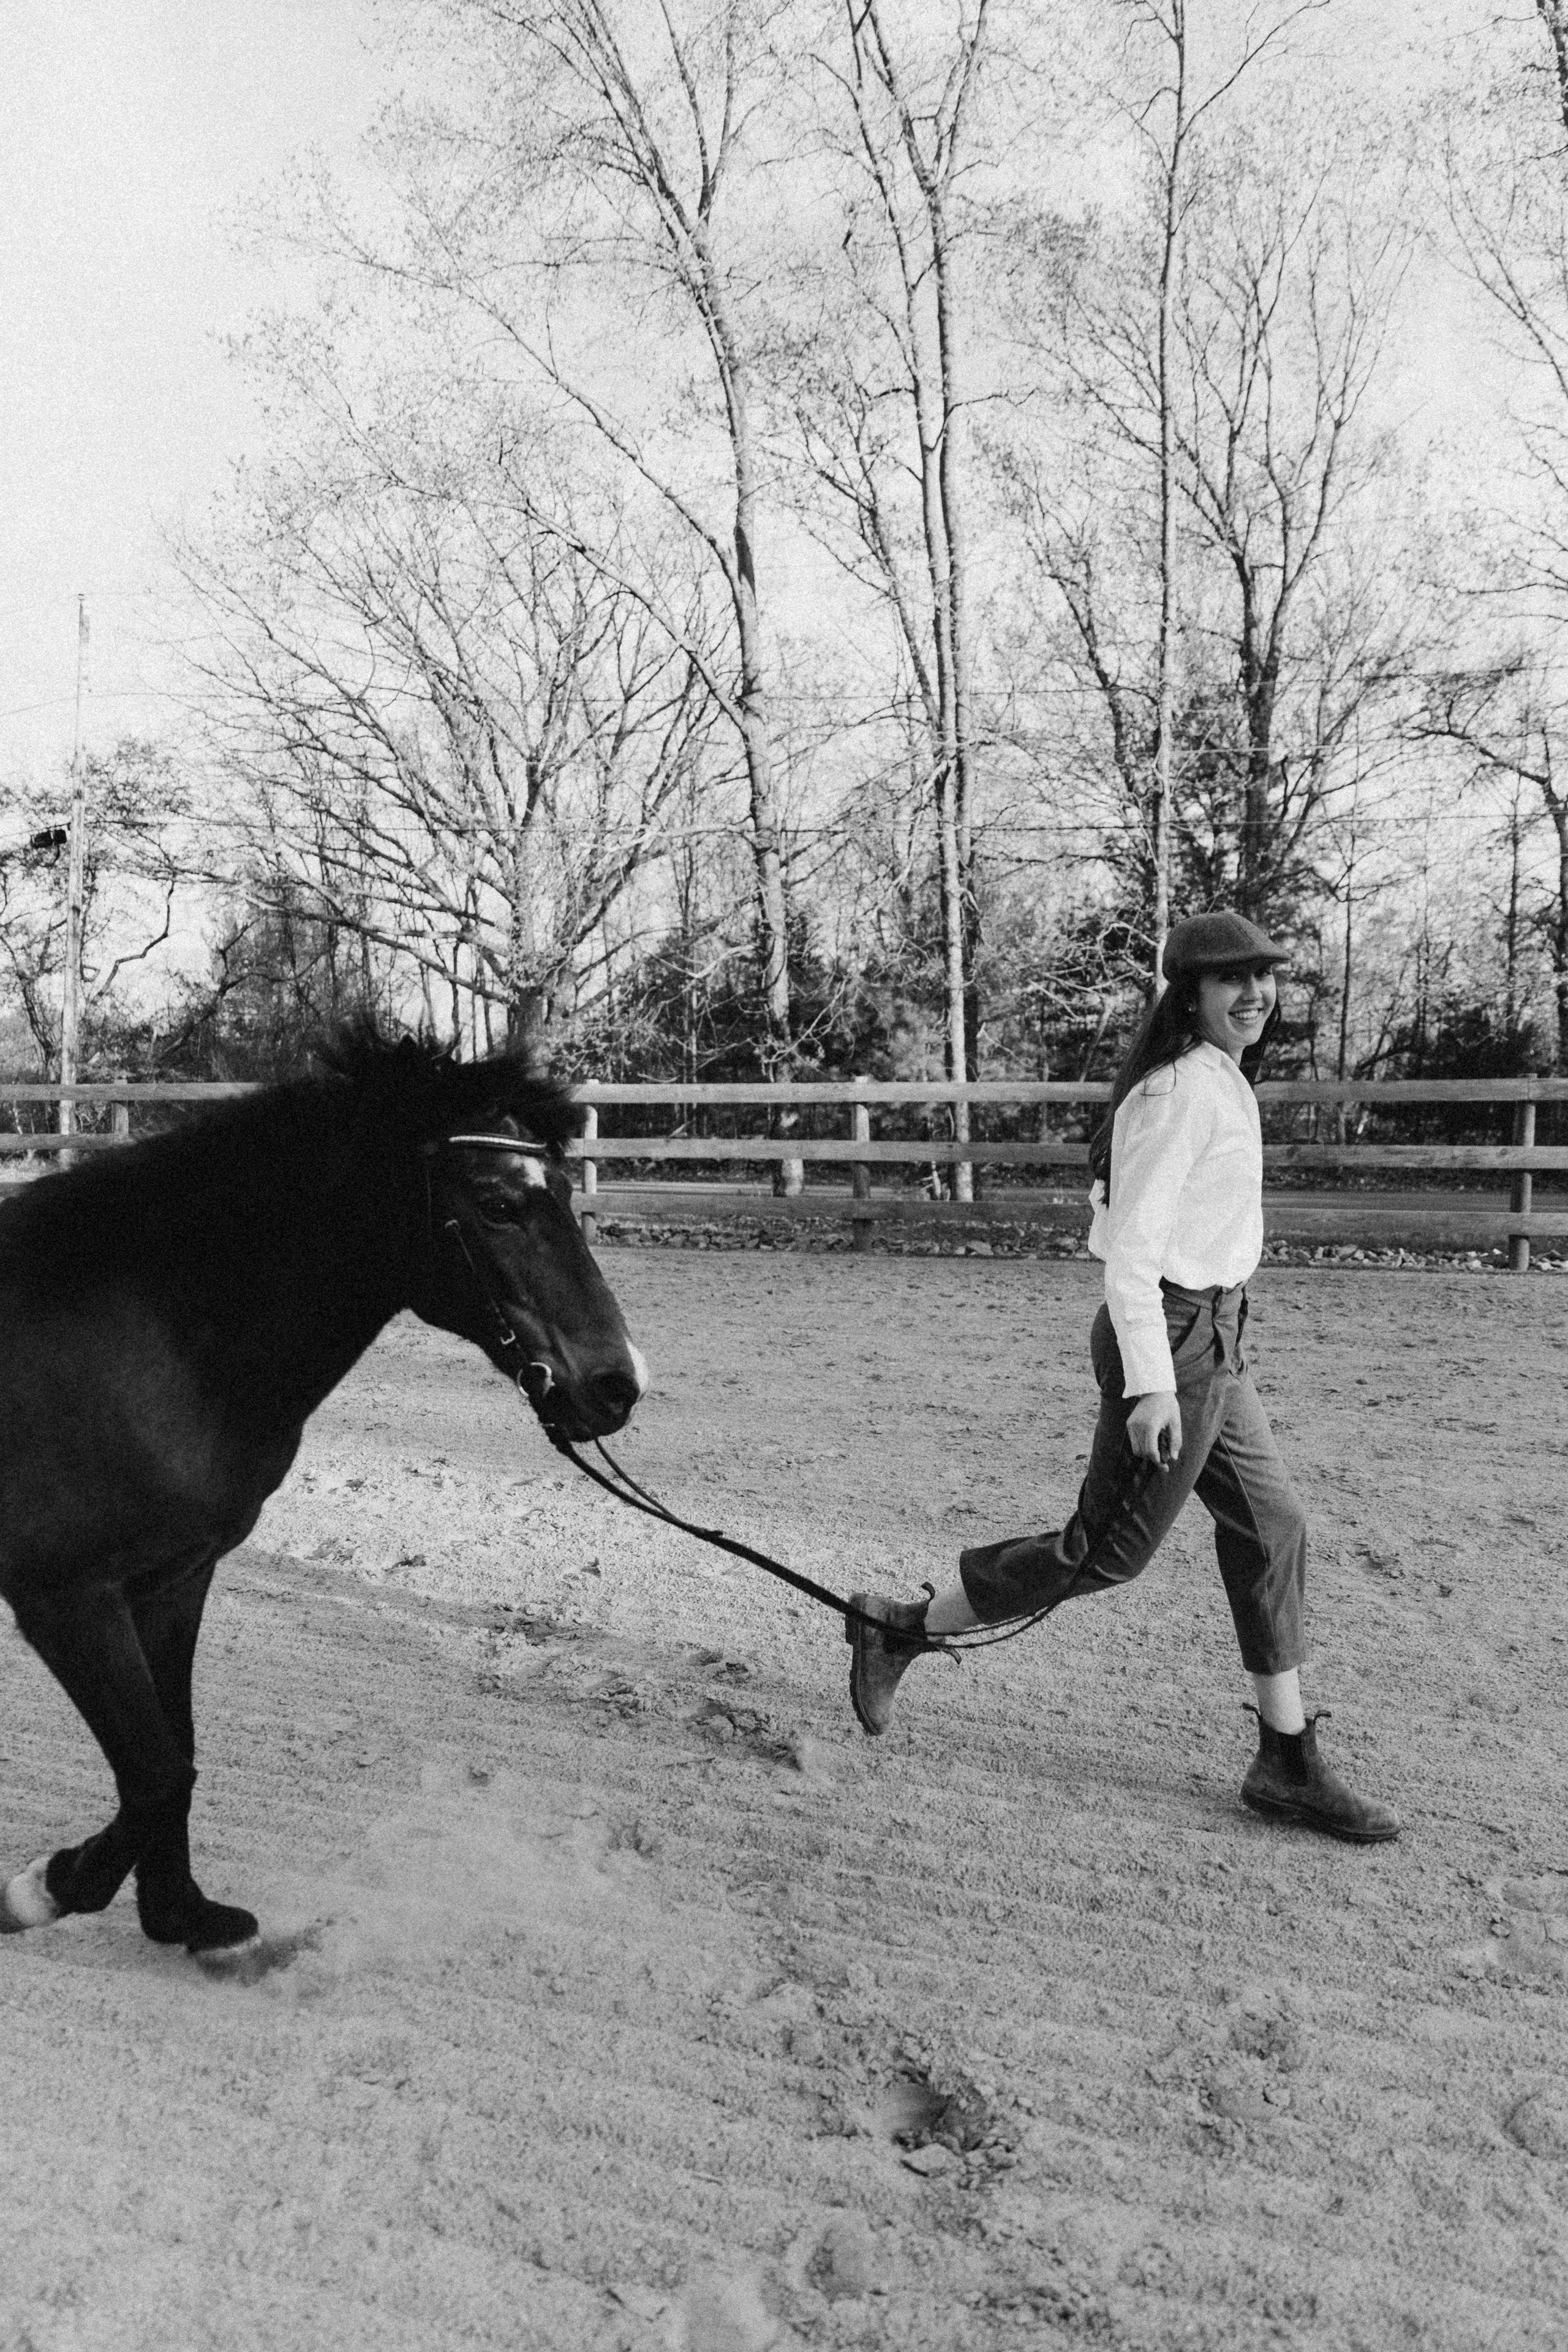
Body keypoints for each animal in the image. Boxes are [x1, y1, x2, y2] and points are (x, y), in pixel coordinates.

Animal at [0, 1027, 646, 1959]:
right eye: (496, 1204)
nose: (618, 1386)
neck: (152, 1335)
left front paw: (180, 1915)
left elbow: (174, 1755)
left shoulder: (171, 1582)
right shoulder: (68, 1599)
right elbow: (155, 1772)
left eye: (562, 1192)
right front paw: (46, 1888)